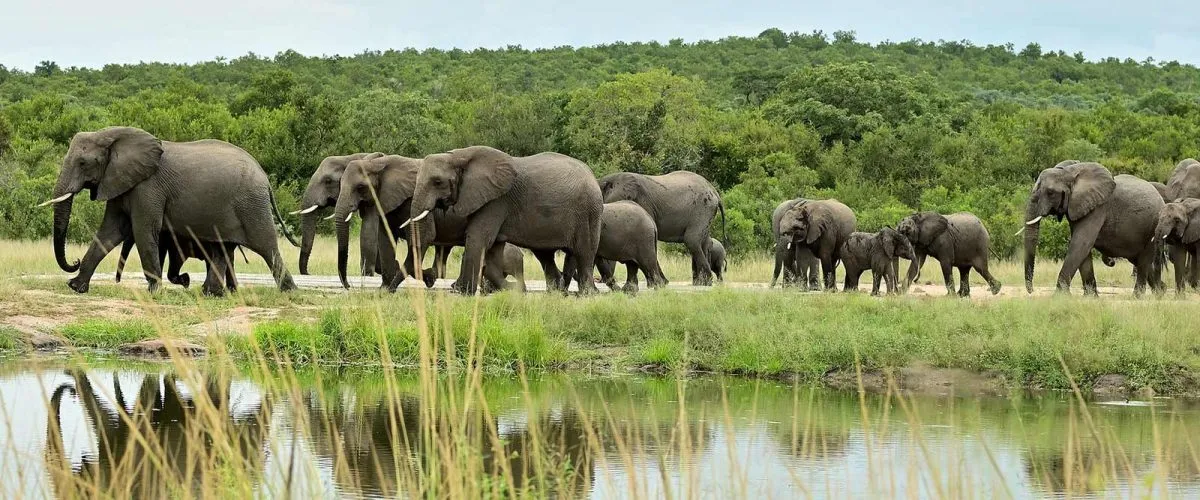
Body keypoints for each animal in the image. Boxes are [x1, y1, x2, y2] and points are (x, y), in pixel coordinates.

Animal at [41, 126, 297, 294]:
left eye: (83, 163)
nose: (73, 261)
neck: (112, 135)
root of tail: (265, 177)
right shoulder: (121, 182)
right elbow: (109, 232)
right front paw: (76, 287)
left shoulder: (148, 187)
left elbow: (143, 232)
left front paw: (154, 292)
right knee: (223, 249)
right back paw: (212, 293)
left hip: (251, 204)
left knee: (267, 246)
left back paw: (289, 291)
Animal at [404, 146, 603, 295]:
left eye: (437, 182)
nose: (429, 277)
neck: (459, 156)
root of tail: (592, 175)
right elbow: (492, 248)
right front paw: (514, 290)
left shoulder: (496, 200)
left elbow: (478, 238)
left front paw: (462, 291)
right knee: (545, 255)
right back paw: (555, 292)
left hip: (588, 213)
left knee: (584, 252)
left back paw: (587, 294)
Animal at [597, 171, 726, 286]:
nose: (601, 281)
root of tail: (715, 192)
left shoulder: (643, 203)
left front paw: (661, 283)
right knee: (704, 242)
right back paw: (700, 282)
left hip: (703, 208)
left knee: (692, 240)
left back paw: (706, 282)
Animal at [1021, 160, 1165, 297]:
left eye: (1050, 192)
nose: (1031, 291)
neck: (1069, 173)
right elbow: (1083, 249)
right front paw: (1090, 297)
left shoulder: (1098, 208)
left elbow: (1081, 243)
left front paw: (1059, 297)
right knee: (1139, 260)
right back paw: (1161, 292)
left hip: (1154, 226)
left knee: (1144, 260)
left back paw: (1137, 296)